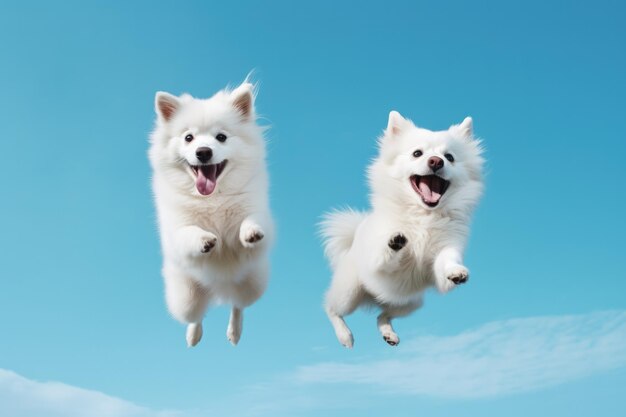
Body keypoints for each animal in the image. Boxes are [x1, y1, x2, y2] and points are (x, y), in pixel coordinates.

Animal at [149, 80, 272, 344]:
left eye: (221, 137)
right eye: (188, 137)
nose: (203, 151)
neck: (212, 198)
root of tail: (218, 288)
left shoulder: (255, 211)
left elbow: (249, 220)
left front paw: (251, 232)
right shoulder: (177, 229)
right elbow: (189, 231)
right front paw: (204, 239)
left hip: (251, 285)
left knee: (237, 304)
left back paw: (234, 332)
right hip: (186, 299)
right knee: (196, 316)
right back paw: (193, 336)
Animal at [320, 110, 480, 348]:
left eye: (449, 157)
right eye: (417, 153)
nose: (436, 161)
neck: (424, 215)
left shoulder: (445, 254)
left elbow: (447, 259)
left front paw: (456, 271)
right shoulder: (379, 264)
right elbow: (387, 254)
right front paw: (395, 242)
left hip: (409, 304)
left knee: (382, 315)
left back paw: (388, 333)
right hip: (349, 292)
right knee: (330, 307)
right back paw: (345, 335)